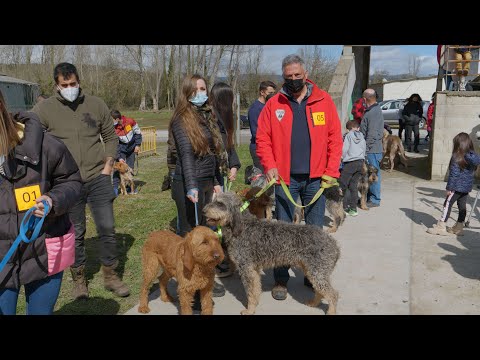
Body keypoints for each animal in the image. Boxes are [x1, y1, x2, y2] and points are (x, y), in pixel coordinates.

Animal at [202, 193, 342, 314]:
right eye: (214, 201)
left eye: (220, 203)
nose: (203, 210)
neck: (242, 227)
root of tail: (334, 243)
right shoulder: (253, 270)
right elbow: (255, 290)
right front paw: (254, 306)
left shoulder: (247, 269)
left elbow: (251, 293)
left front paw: (250, 310)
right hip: (312, 271)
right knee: (321, 291)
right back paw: (314, 303)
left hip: (317, 272)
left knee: (333, 294)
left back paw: (330, 311)